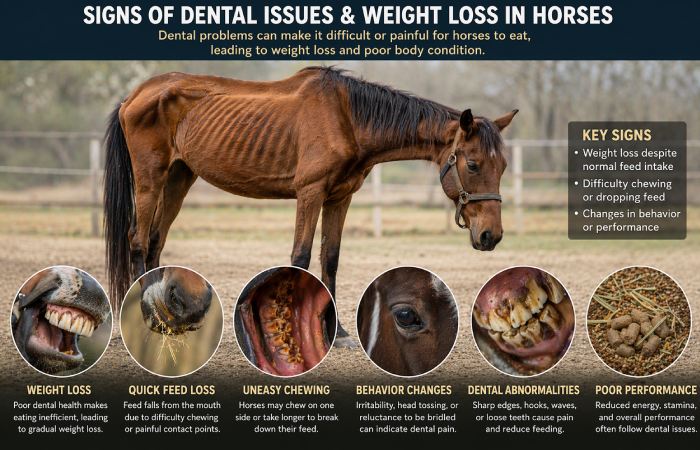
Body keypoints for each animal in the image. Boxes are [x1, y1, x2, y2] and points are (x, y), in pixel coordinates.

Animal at [103, 66, 517, 346]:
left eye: (503, 166)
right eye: (473, 164)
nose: (491, 236)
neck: (347, 118)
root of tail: (133, 96)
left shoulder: (339, 197)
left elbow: (329, 259)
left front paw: (341, 332)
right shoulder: (310, 193)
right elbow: (301, 256)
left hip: (179, 176)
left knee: (154, 242)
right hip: (151, 178)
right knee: (137, 240)